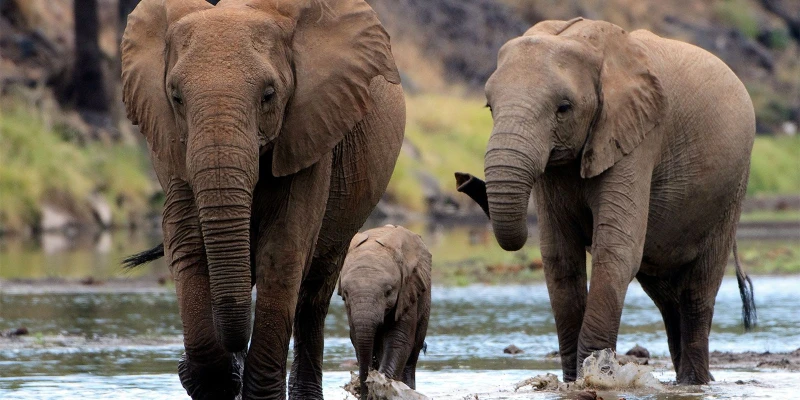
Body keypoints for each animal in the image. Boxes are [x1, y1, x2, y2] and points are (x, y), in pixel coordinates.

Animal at [119, 0, 404, 398]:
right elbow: (188, 244)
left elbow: (282, 250)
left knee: (313, 295)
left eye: (269, 95)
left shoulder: (311, 130)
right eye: (175, 97)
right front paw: (214, 377)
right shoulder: (170, 143)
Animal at [337, 225, 432, 399]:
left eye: (388, 292)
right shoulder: (349, 308)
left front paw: (381, 385)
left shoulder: (407, 290)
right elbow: (356, 338)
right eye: (345, 294)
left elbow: (399, 339)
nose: (363, 391)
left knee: (412, 354)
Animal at [453, 17, 757, 385]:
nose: (462, 179)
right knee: (666, 294)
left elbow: (615, 249)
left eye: (564, 108)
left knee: (698, 290)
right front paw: (574, 380)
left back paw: (694, 382)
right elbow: (559, 257)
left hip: (732, 188)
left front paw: (596, 374)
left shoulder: (637, 138)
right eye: (489, 107)